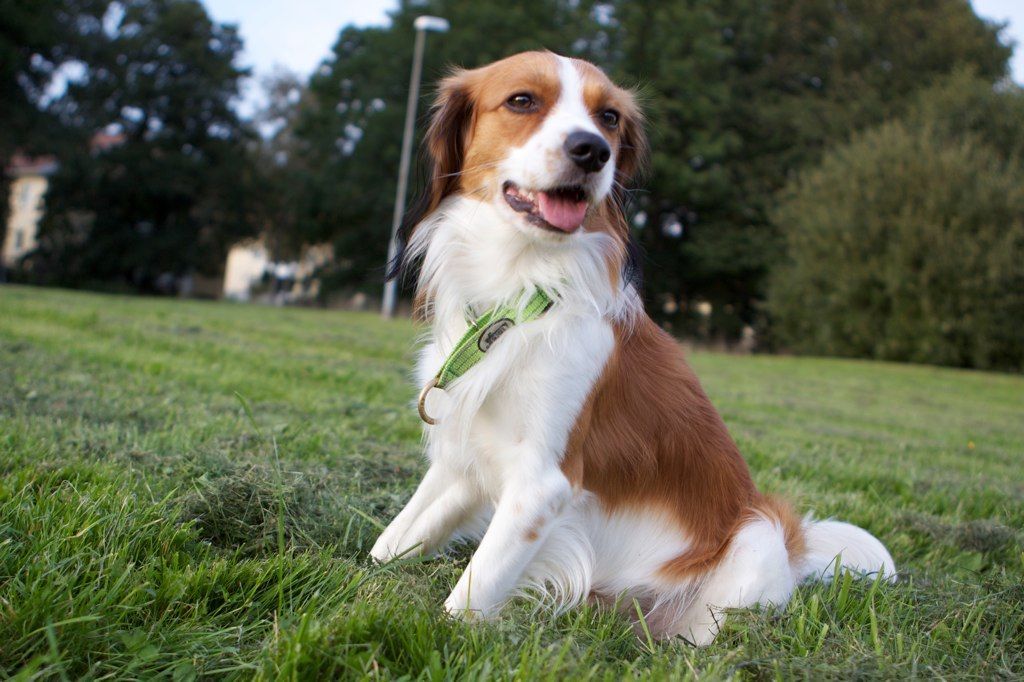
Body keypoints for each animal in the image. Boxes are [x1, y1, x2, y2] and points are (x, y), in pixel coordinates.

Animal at [370, 51, 897, 643]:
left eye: (609, 118)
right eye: (522, 100)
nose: (591, 150)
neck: (519, 294)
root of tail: (794, 554)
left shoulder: (542, 484)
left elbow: (467, 598)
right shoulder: (467, 456)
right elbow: (391, 543)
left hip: (755, 535)